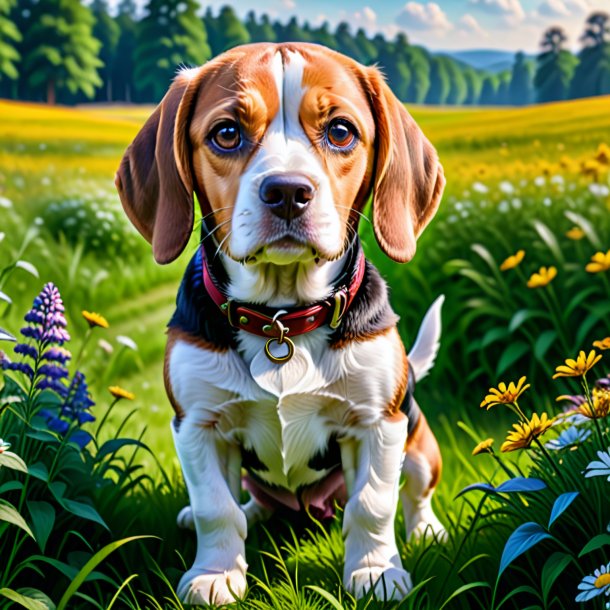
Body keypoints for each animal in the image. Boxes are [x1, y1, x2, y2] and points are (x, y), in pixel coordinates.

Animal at [116, 41, 444, 604]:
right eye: (227, 133)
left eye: (340, 131)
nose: (288, 191)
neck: (281, 319)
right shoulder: (197, 424)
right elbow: (216, 508)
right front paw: (215, 573)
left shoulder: (379, 423)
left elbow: (373, 505)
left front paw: (375, 571)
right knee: (244, 504)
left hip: (418, 435)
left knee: (414, 492)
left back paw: (425, 529)